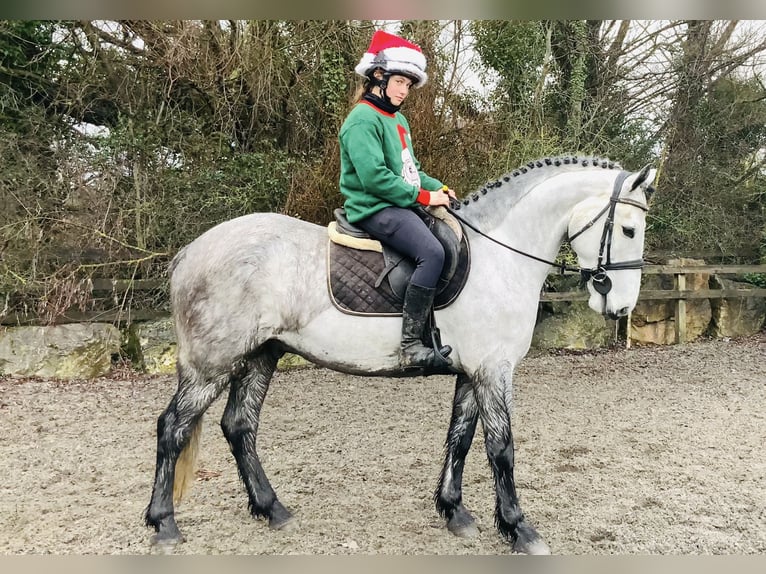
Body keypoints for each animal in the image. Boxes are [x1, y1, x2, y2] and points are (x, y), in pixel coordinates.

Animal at [144, 155, 656, 554]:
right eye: (630, 229)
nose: (622, 306)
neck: (500, 258)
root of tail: (191, 251)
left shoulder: (472, 372)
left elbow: (460, 438)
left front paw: (454, 511)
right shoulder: (494, 371)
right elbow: (501, 448)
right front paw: (518, 528)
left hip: (259, 356)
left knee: (239, 426)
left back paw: (271, 509)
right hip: (211, 365)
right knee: (172, 427)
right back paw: (163, 524)